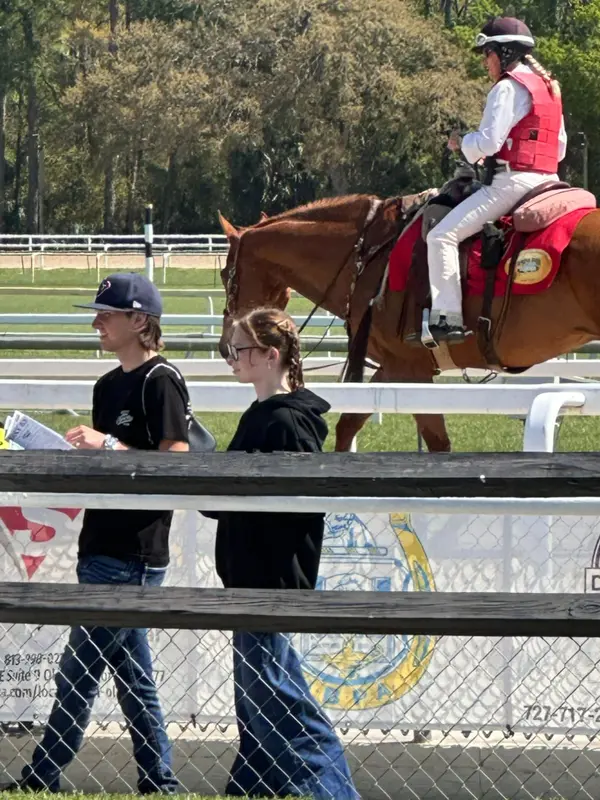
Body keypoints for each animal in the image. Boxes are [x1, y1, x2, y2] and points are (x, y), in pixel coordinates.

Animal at [217, 190, 600, 452]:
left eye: (224, 274)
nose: (223, 346)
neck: (368, 257)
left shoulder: (410, 368)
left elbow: (436, 441)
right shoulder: (394, 366)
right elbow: (348, 425)